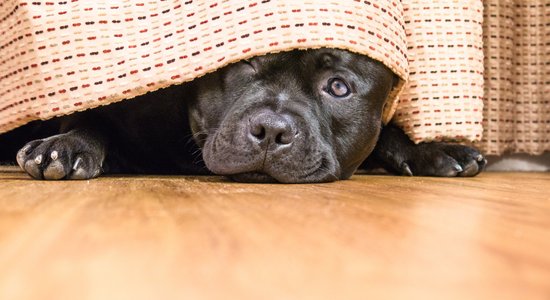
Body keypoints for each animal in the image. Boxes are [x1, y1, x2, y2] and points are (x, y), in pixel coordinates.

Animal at [9, 49, 488, 183]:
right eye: (245, 63)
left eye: (338, 87)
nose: (272, 130)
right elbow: (88, 119)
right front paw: (65, 145)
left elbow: (387, 132)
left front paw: (434, 149)